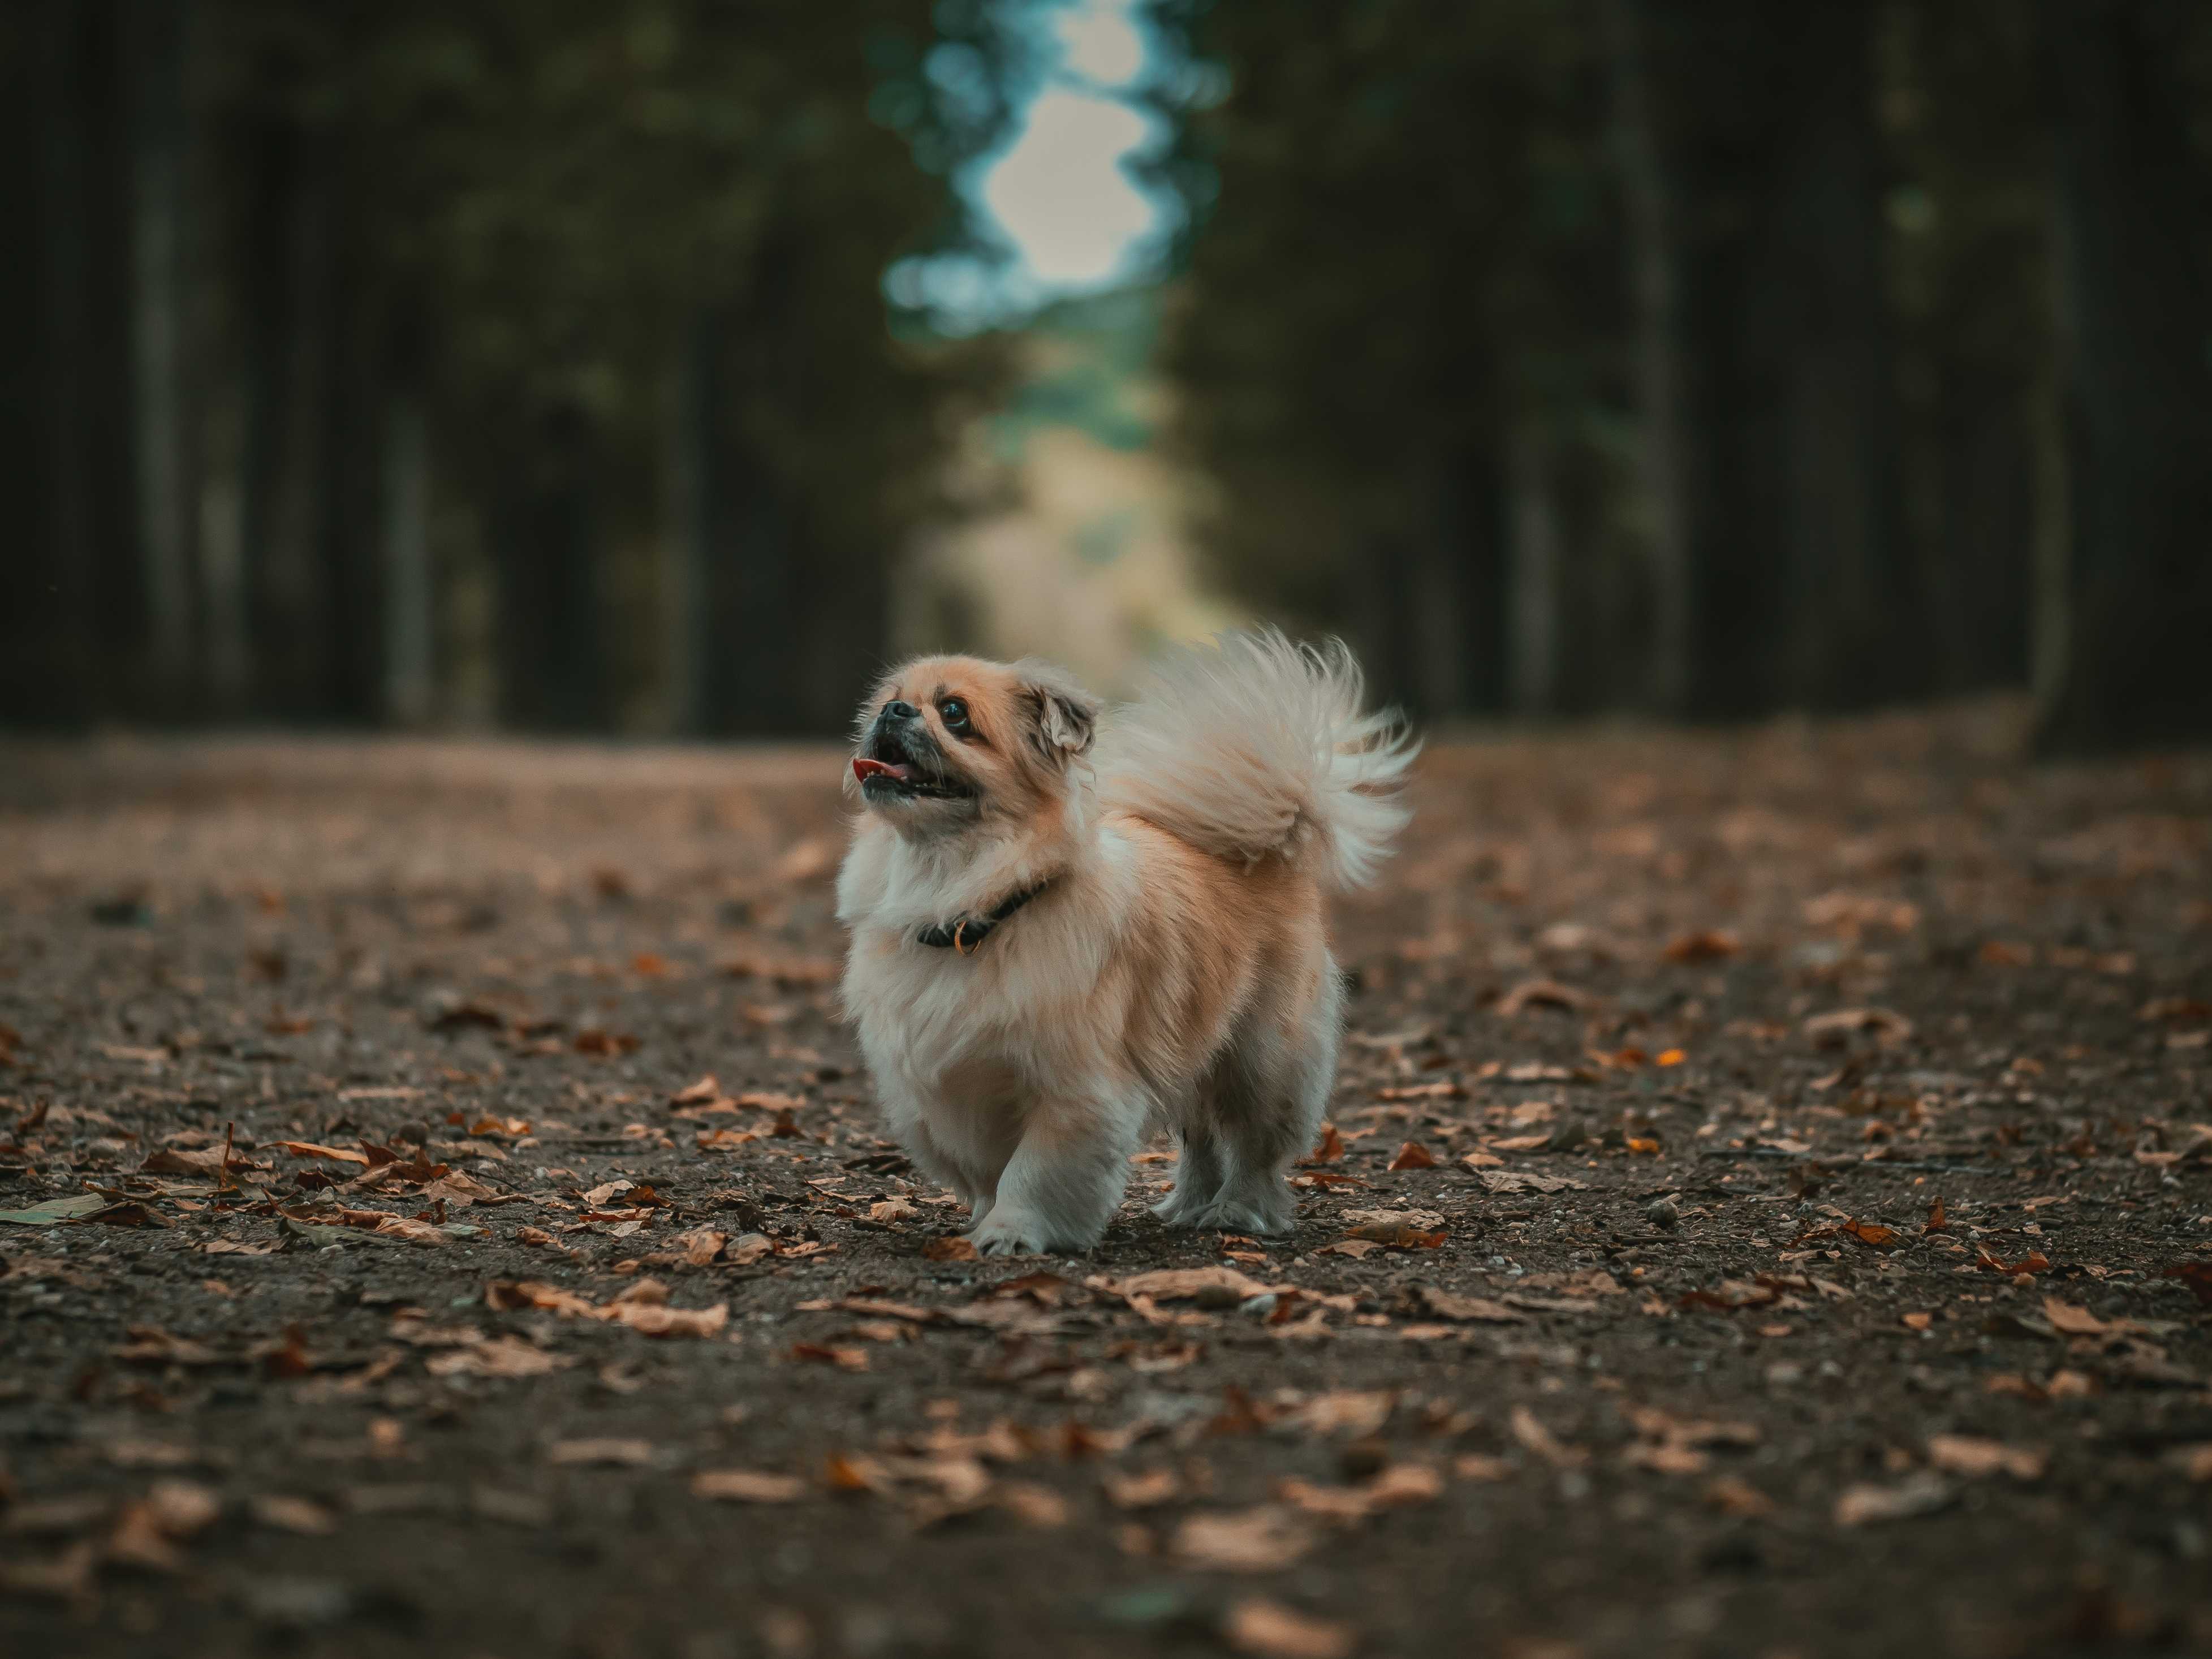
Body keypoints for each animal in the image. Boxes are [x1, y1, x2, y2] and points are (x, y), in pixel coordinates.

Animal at [831, 628, 1416, 1256]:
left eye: (954, 713)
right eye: (890, 699)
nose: (894, 711)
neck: (971, 898)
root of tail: (1267, 850)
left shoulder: (1076, 1092)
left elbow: (1031, 1172)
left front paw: (1011, 1232)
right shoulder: (951, 1089)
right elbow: (988, 1172)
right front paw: (983, 1222)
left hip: (1262, 1060)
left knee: (1253, 1148)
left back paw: (1236, 1211)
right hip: (1187, 1050)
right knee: (1199, 1136)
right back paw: (1187, 1205)